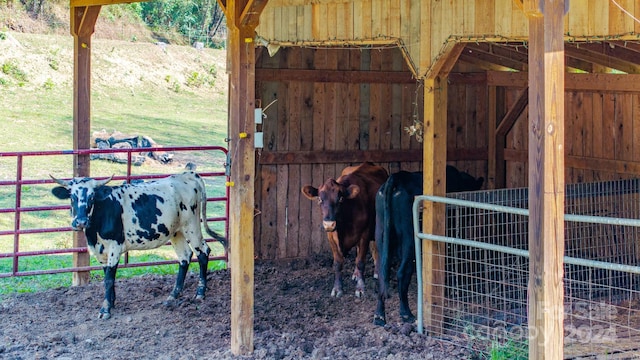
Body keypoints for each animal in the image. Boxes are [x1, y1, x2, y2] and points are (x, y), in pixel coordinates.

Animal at [52, 170, 228, 320]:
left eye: (92, 197)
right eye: (72, 197)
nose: (81, 222)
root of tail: (188, 175)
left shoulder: (115, 246)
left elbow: (109, 279)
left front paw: (105, 309)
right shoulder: (100, 251)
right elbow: (108, 276)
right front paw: (112, 302)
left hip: (191, 226)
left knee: (203, 252)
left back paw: (200, 293)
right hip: (176, 231)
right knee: (185, 257)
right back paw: (173, 295)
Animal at [302, 162, 388, 296]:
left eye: (341, 199)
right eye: (320, 199)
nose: (329, 224)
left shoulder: (364, 233)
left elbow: (360, 261)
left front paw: (360, 288)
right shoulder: (331, 237)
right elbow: (338, 263)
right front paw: (337, 288)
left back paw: (377, 272)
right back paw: (356, 274)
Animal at [372, 166, 482, 326]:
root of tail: (397, 177)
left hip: (381, 234)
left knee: (382, 273)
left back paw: (379, 316)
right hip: (409, 238)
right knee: (402, 272)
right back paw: (406, 314)